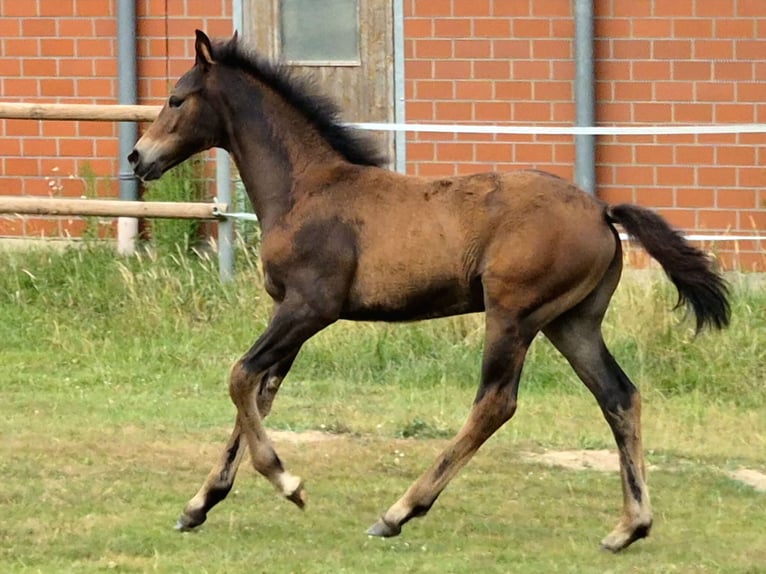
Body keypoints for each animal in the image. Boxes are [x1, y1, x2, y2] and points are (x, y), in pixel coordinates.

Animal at [129, 30, 730, 552]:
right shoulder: (289, 314)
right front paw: (199, 504)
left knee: (495, 403)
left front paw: (286, 482)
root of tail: (602, 210)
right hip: (571, 322)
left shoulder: (309, 308)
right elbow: (258, 392)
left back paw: (398, 512)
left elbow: (239, 377)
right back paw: (629, 527)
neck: (306, 189)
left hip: (513, 315)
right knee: (618, 396)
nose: (138, 157)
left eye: (176, 98)